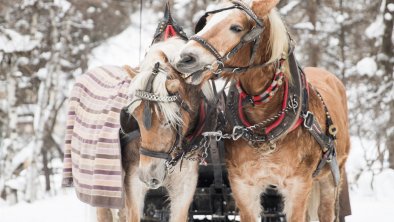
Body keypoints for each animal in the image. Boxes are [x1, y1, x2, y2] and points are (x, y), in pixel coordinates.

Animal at [174, 0, 350, 221]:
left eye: (236, 28)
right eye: (205, 23)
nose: (185, 59)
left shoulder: (299, 186)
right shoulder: (242, 185)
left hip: (331, 178)